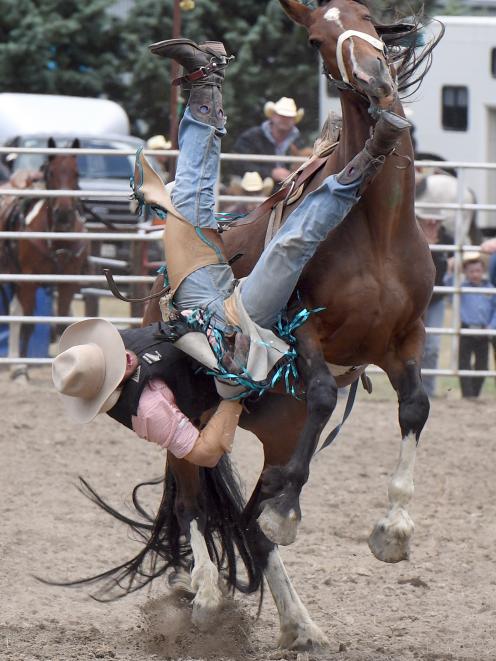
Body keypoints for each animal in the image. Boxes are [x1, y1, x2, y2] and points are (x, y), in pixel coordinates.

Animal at [0, 137, 88, 378]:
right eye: (50, 173)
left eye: (77, 173)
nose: (64, 214)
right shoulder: (29, 281)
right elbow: (28, 324)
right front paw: (22, 370)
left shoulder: (68, 283)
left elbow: (62, 324)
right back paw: (16, 364)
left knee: (15, 312)